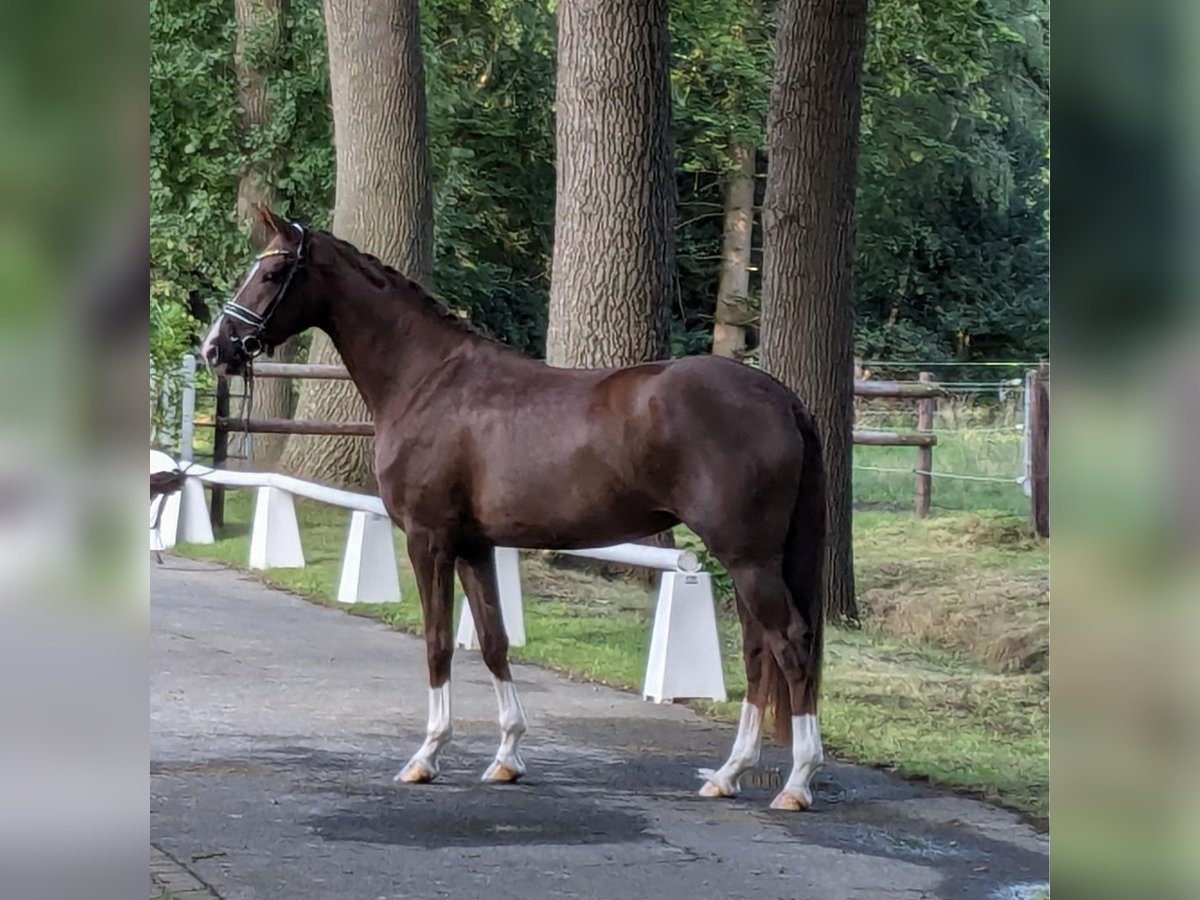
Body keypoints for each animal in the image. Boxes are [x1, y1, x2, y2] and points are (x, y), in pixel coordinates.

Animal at [201, 210, 830, 811]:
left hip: (747, 557)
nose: (216, 347)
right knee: (758, 650)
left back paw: (796, 783)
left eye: (273, 273)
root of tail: (779, 396)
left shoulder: (429, 540)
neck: (427, 380)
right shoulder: (474, 545)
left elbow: (436, 642)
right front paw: (507, 756)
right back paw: (728, 774)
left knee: (790, 642)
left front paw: (427, 756)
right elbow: (493, 640)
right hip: (749, 559)